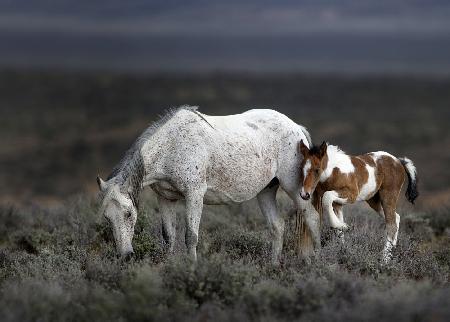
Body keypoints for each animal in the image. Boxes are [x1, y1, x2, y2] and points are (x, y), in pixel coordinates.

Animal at [97, 107, 320, 262]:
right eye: (107, 217)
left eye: (129, 214)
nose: (126, 255)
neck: (172, 146)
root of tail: (296, 128)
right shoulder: (166, 198)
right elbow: (169, 236)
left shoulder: (194, 195)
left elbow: (191, 236)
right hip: (266, 191)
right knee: (277, 226)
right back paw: (273, 265)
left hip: (294, 188)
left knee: (313, 218)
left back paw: (317, 262)